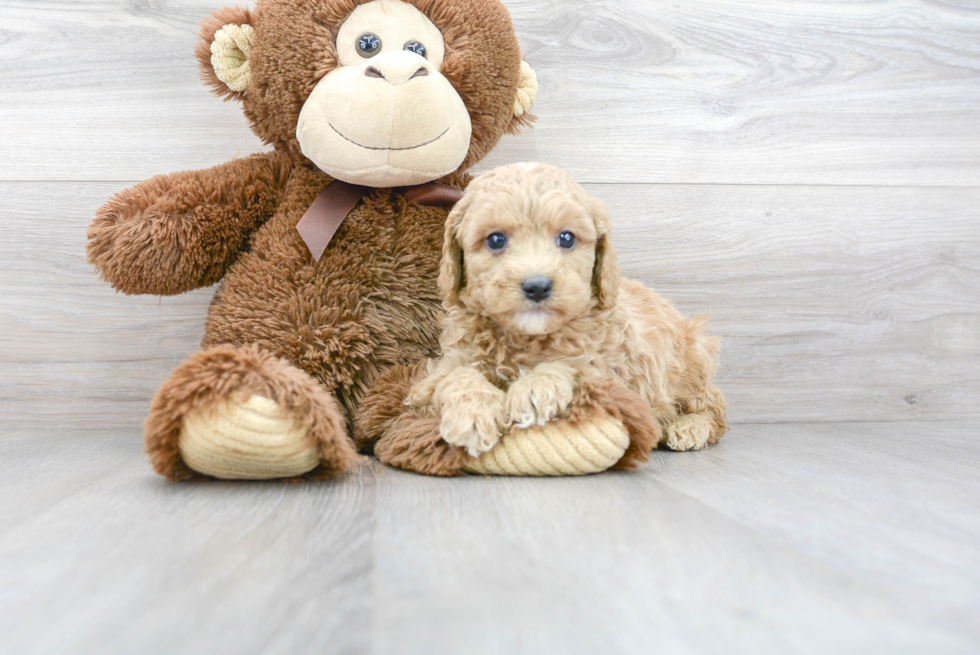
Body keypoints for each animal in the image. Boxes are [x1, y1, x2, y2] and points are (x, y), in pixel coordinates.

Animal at [408, 164, 728, 458]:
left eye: (567, 238)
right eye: (496, 240)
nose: (537, 286)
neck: (526, 338)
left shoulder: (617, 376)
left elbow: (575, 366)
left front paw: (534, 388)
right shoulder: (443, 368)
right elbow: (454, 375)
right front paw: (472, 416)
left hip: (692, 360)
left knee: (714, 407)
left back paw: (688, 427)